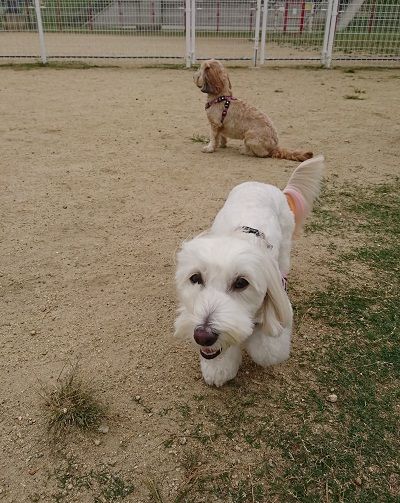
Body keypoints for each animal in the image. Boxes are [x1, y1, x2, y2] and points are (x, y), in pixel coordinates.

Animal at [173, 156, 324, 388]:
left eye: (241, 283)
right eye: (195, 278)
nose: (203, 336)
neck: (241, 237)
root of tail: (262, 184)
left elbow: (267, 350)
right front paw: (219, 368)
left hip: (285, 248)